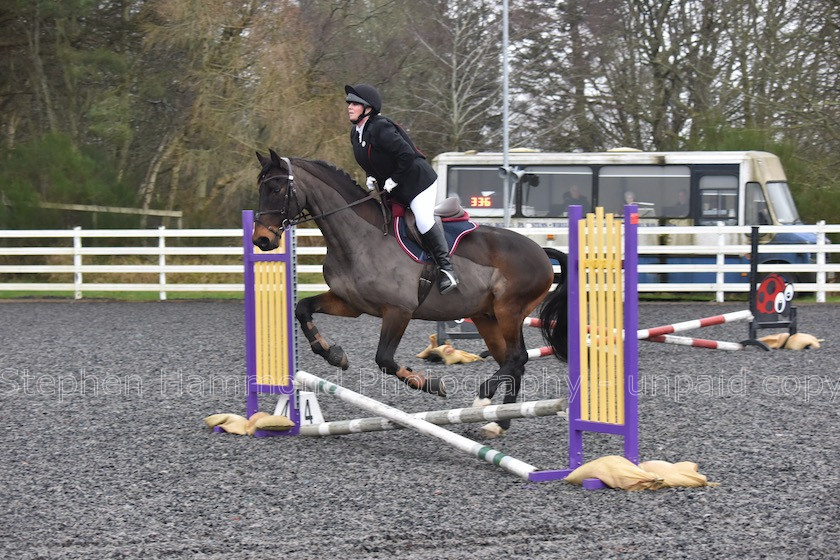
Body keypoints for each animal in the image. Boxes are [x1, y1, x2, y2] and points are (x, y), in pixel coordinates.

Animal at [249, 150, 564, 438]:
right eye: (260, 188)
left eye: (275, 189)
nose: (261, 239)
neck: (358, 238)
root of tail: (541, 253)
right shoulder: (349, 303)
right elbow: (302, 308)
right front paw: (333, 354)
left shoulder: (398, 311)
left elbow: (385, 360)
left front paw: (431, 385)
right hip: (488, 317)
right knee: (513, 361)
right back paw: (499, 421)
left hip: (508, 311)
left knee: (517, 357)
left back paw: (484, 400)